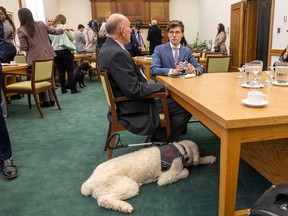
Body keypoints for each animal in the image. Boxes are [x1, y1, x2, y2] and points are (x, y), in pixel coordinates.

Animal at [81, 140, 216, 213]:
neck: (180, 149)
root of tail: (88, 183)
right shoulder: (166, 177)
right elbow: (184, 172)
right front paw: (186, 170)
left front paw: (210, 158)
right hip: (126, 185)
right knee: (104, 200)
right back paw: (125, 207)